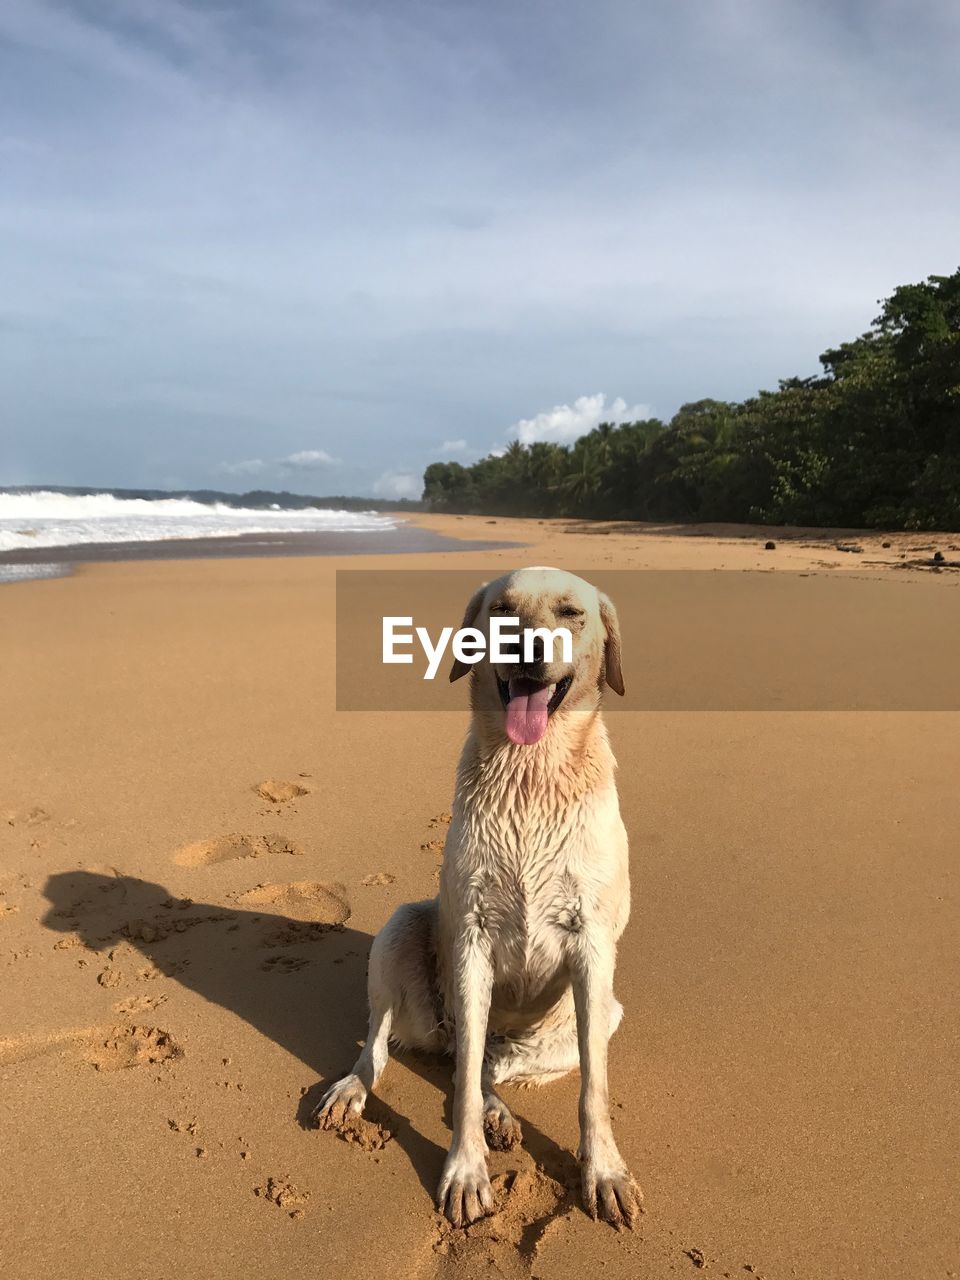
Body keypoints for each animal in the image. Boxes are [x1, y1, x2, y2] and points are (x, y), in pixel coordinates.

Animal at [320, 570, 642, 1228]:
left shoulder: (593, 942)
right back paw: (354, 1090)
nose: (527, 649)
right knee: (393, 1046)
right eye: (501, 609)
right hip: (403, 931)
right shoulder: (471, 933)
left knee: (492, 1062)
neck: (531, 768)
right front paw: (466, 1172)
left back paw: (501, 1112)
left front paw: (604, 1171)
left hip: (597, 1016)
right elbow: (461, 1083)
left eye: (571, 613)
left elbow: (594, 1089)